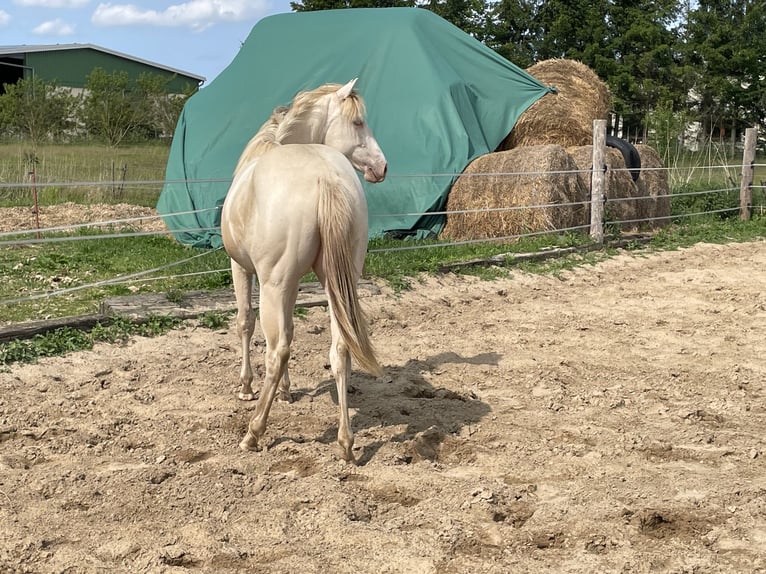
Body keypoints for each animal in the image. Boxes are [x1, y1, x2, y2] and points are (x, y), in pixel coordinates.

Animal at [220, 79, 388, 462]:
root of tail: (326, 177)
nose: (382, 166)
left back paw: (253, 432)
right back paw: (345, 443)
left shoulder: (242, 268)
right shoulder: (294, 283)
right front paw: (286, 390)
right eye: (358, 122)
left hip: (273, 285)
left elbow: (245, 323)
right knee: (340, 349)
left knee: (276, 350)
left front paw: (246, 386)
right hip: (335, 285)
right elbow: (294, 330)